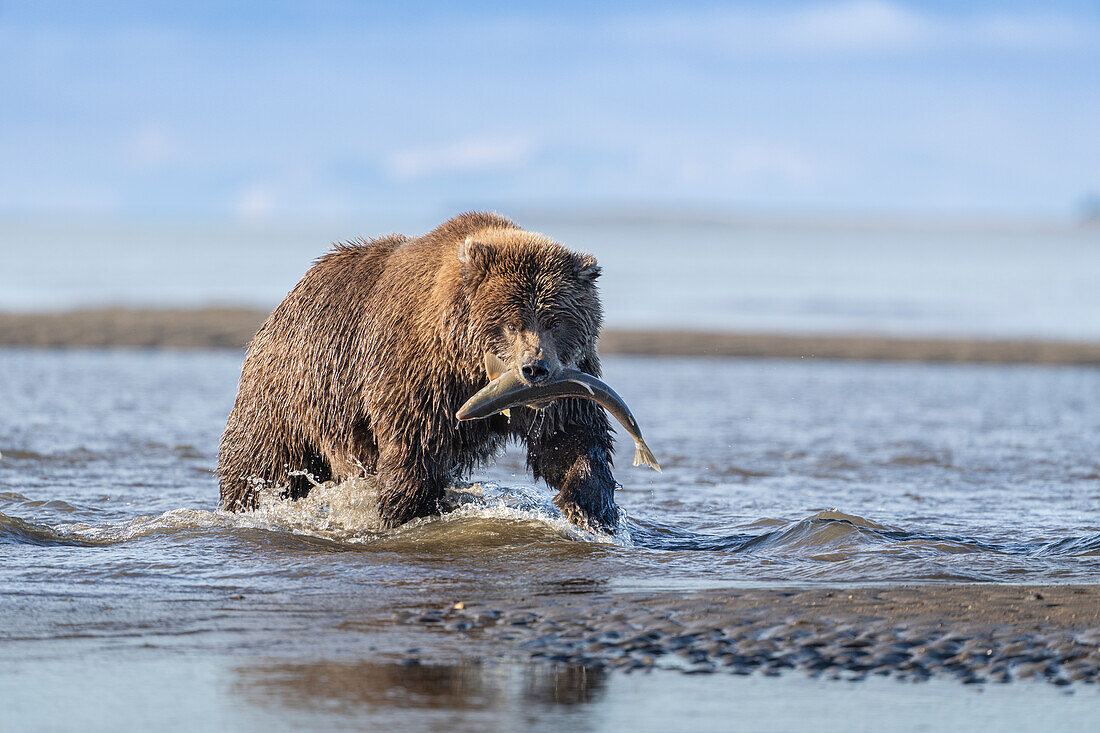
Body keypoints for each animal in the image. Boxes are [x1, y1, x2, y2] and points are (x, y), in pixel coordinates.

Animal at [216, 210, 620, 526]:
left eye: (556, 322)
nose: (534, 369)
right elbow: (414, 445)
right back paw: (243, 503)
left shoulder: (569, 383)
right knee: (261, 461)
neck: (468, 368)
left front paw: (588, 505)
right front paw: (404, 511)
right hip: (292, 392)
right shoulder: (418, 374)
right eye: (509, 322)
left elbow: (570, 437)